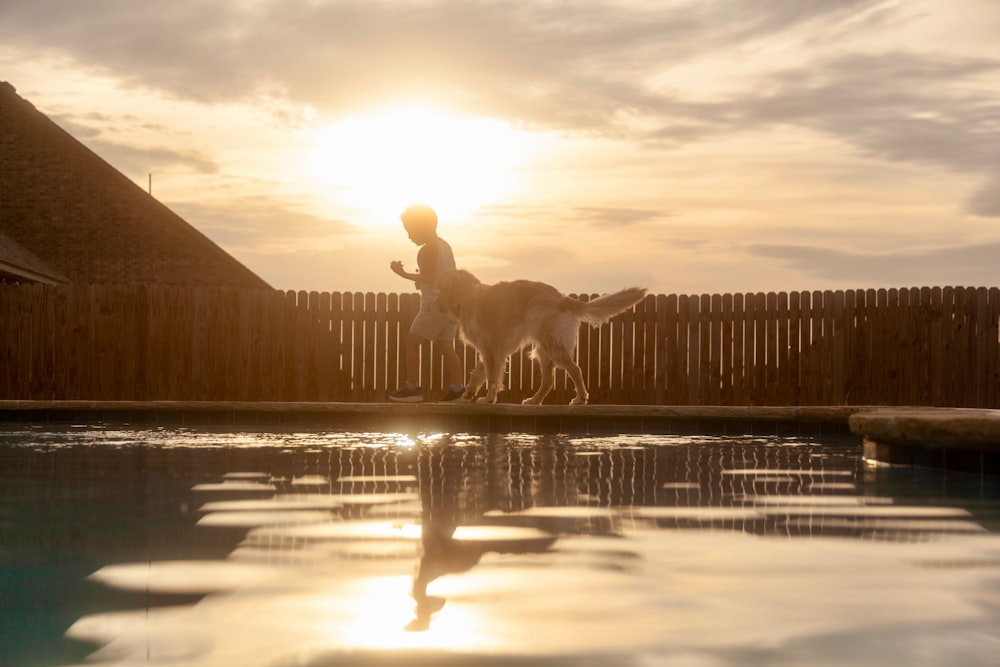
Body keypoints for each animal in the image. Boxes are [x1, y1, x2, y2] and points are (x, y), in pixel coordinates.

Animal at [438, 268, 648, 404]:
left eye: (440, 287)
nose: (435, 301)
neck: (465, 295)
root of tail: (562, 298)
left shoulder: (489, 348)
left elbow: (491, 378)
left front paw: (489, 398)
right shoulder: (490, 350)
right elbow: (478, 375)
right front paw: (468, 394)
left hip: (552, 346)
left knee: (575, 370)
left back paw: (580, 398)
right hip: (543, 350)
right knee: (548, 381)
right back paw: (534, 400)